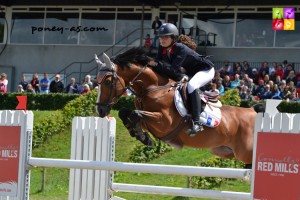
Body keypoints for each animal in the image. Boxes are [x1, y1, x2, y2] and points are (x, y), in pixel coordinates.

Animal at [95, 47, 258, 166]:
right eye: (97, 82)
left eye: (108, 82)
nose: (100, 110)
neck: (153, 88)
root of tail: (252, 111)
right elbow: (125, 112)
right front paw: (141, 136)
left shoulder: (164, 123)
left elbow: (135, 113)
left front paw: (143, 138)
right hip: (225, 151)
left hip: (245, 152)